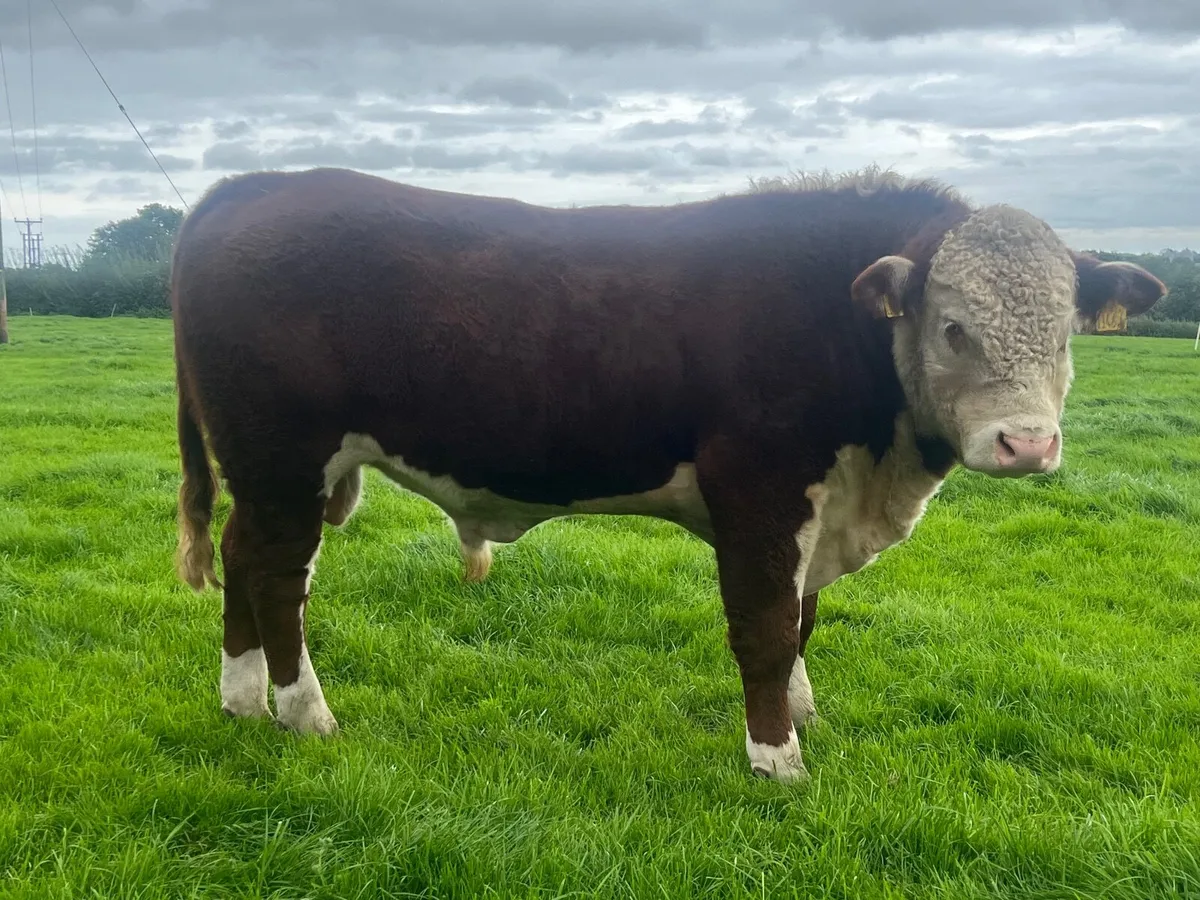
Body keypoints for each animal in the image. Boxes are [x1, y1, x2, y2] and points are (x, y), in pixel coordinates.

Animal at [170, 165, 1165, 783]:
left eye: (1067, 332)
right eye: (954, 327)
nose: (1026, 445)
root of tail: (259, 185)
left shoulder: (818, 506)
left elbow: (805, 620)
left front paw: (801, 715)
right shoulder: (760, 490)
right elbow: (767, 628)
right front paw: (776, 760)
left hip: (266, 471)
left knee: (242, 559)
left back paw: (241, 701)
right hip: (284, 458)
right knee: (276, 576)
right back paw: (304, 714)